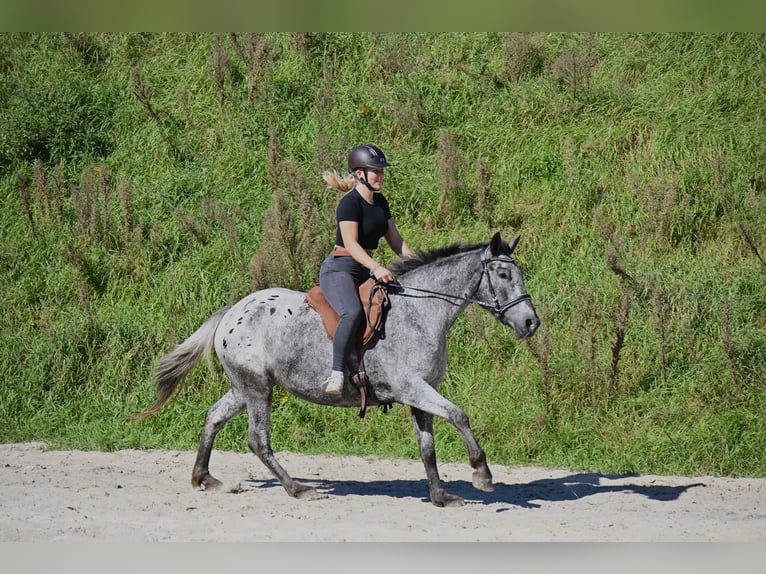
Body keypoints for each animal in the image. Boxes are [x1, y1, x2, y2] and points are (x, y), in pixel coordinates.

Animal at [140, 232, 544, 506]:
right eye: (504, 276)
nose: (530, 323)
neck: (422, 312)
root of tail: (232, 312)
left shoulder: (420, 394)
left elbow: (427, 447)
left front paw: (441, 496)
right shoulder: (412, 387)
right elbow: (460, 415)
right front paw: (481, 473)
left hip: (246, 386)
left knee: (213, 417)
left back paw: (205, 479)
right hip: (257, 388)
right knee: (258, 439)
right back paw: (298, 489)